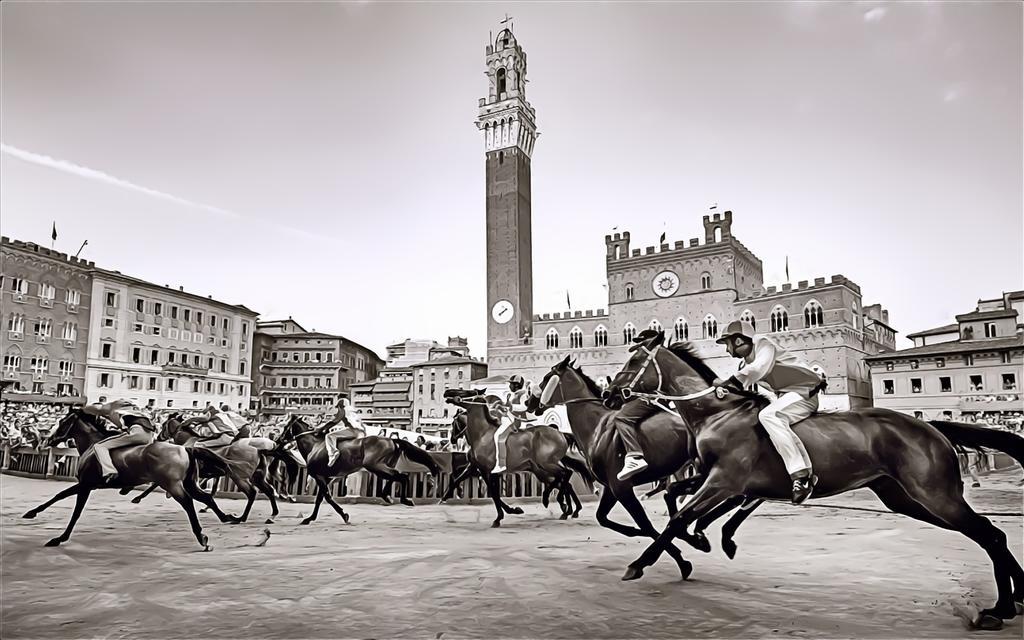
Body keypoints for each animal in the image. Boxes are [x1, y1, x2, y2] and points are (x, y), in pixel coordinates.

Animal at [22, 409, 234, 548]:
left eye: (62, 422)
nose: (48, 440)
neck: (93, 444)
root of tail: (184, 448)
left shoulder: (86, 485)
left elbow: (74, 511)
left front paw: (59, 538)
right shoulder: (86, 484)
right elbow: (59, 496)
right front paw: (31, 512)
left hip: (173, 485)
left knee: (188, 503)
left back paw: (201, 536)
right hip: (188, 483)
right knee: (205, 497)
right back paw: (227, 517)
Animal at [134, 411, 284, 522]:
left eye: (164, 424)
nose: (157, 437)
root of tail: (260, 449)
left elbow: (155, 483)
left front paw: (138, 498)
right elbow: (211, 489)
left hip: (239, 477)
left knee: (252, 493)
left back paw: (241, 518)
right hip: (257, 476)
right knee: (269, 490)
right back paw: (272, 515)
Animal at [276, 413, 440, 524]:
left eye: (284, 427)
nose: (278, 440)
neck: (314, 446)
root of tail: (392, 440)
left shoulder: (319, 476)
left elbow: (327, 498)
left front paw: (344, 515)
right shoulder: (326, 477)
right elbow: (320, 499)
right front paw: (310, 518)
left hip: (375, 466)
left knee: (402, 476)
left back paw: (405, 499)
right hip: (384, 465)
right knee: (395, 477)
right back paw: (387, 495)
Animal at [440, 387, 593, 528]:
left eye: (466, 392)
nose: (447, 393)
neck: (483, 435)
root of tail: (560, 433)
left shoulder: (490, 472)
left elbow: (494, 494)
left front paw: (500, 517)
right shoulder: (478, 468)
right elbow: (460, 480)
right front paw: (444, 497)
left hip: (546, 464)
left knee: (566, 474)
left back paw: (554, 502)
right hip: (542, 469)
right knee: (562, 480)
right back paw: (565, 508)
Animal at [606, 331, 1024, 630]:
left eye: (635, 360)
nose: (610, 394)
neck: (717, 413)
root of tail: (931, 426)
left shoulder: (724, 481)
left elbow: (680, 516)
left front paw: (639, 564)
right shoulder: (713, 480)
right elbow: (676, 499)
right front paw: (699, 540)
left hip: (936, 495)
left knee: (990, 534)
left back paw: (999, 609)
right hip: (906, 500)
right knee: (990, 535)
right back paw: (1014, 601)